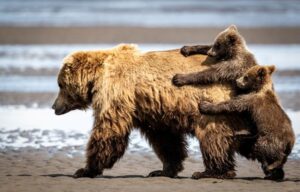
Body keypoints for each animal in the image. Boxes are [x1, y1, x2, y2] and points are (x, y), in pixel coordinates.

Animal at [52, 44, 253, 178]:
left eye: (60, 84)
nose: (54, 107)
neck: (98, 75)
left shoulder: (116, 92)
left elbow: (109, 130)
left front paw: (85, 169)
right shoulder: (151, 109)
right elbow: (165, 139)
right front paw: (164, 169)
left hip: (211, 101)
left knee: (213, 136)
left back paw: (214, 171)